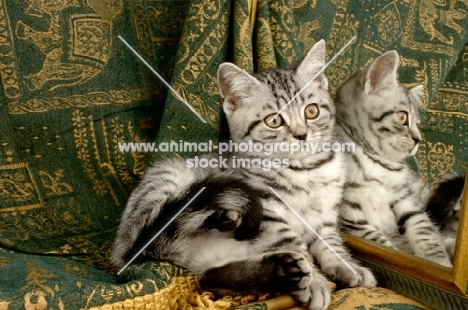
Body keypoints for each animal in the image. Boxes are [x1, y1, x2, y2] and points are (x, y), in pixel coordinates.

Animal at [112, 40, 376, 310]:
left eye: (311, 111)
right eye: (274, 121)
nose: (301, 135)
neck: (304, 170)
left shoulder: (325, 218)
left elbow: (330, 244)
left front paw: (347, 267)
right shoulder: (268, 208)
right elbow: (291, 242)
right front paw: (315, 282)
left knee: (210, 276)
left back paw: (269, 260)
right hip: (168, 182)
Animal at [336, 50, 454, 266]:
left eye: (417, 124)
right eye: (402, 118)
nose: (418, 139)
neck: (375, 160)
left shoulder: (407, 200)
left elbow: (426, 234)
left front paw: (439, 262)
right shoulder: (350, 215)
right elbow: (384, 245)